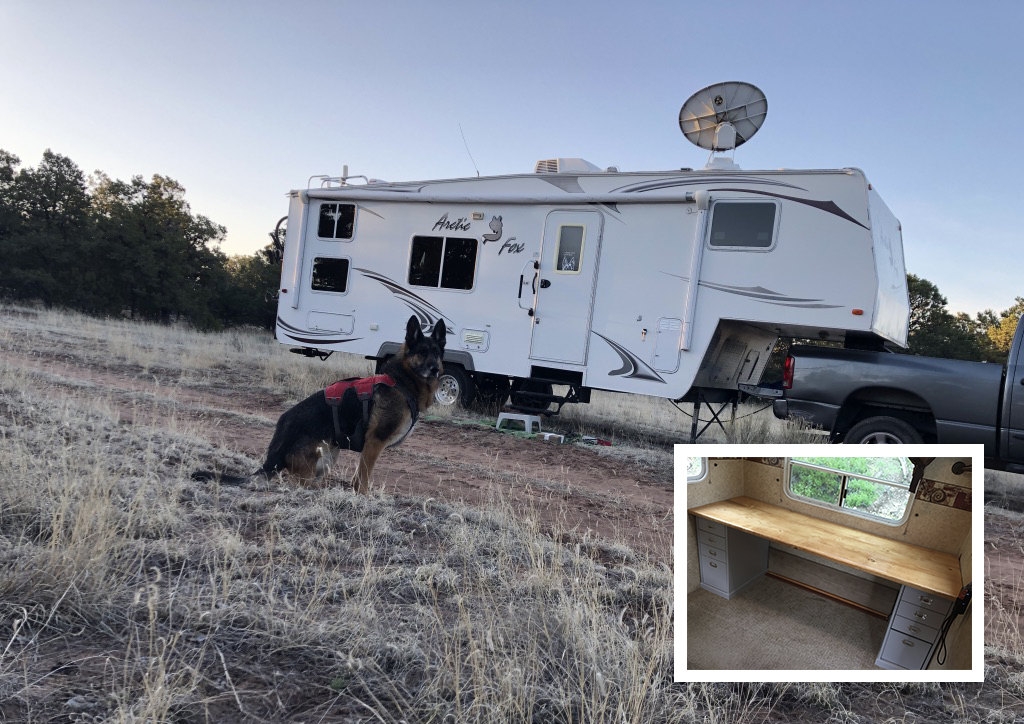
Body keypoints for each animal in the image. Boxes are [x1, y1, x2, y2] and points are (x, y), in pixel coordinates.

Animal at [193, 317, 446, 493]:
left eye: (436, 352)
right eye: (422, 352)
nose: (435, 369)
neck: (403, 381)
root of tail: (275, 451)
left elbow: (358, 476)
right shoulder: (375, 442)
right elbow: (364, 478)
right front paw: (364, 497)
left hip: (330, 456)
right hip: (322, 454)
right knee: (297, 482)